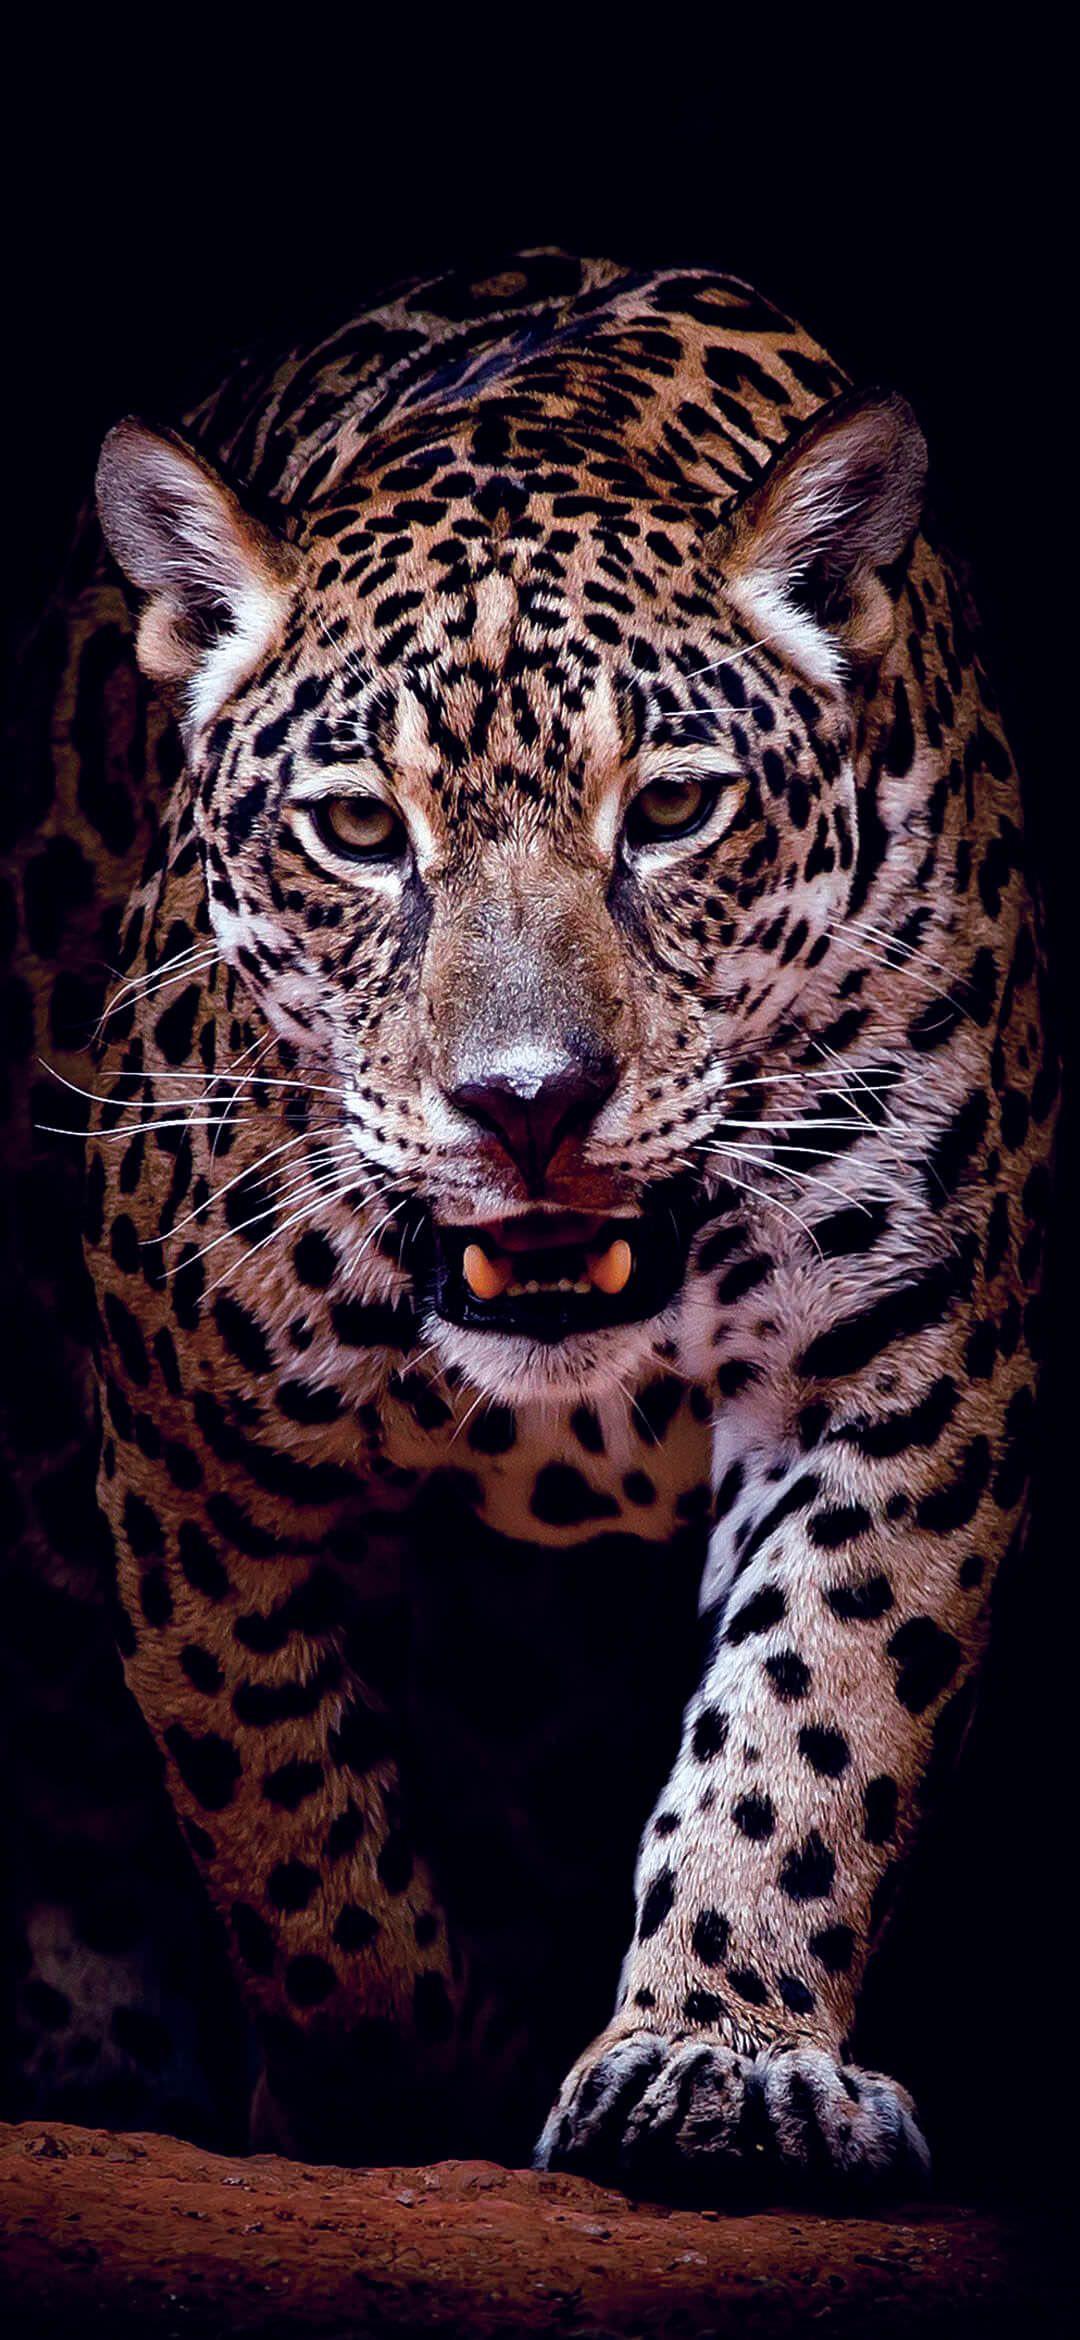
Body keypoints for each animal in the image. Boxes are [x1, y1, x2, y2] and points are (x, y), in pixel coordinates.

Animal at [3, 249, 1057, 2195]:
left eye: (674, 810)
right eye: (358, 829)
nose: (529, 1102)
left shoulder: (906, 1367)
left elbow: (816, 1717)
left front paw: (720, 2058)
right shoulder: (192, 1448)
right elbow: (287, 1817)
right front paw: (392, 2089)